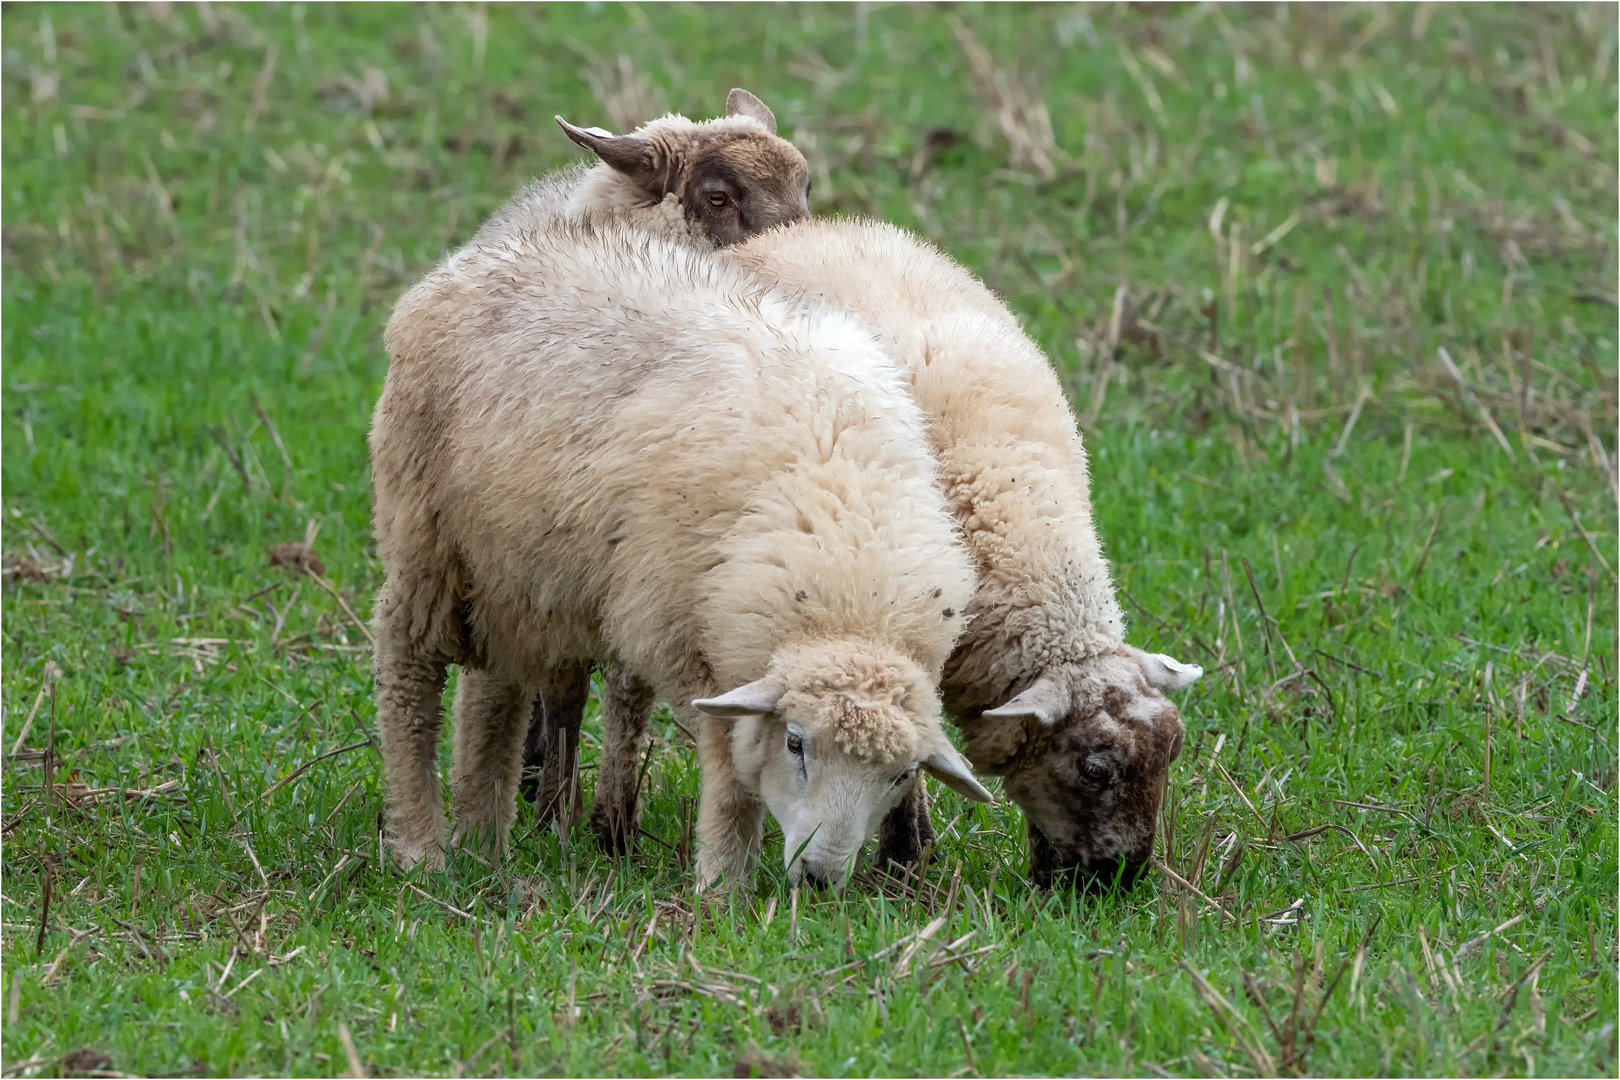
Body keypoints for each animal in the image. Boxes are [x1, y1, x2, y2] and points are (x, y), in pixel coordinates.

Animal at [372, 215, 991, 893]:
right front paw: (724, 886)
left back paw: (483, 842)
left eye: (901, 775)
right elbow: (730, 769)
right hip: (426, 532)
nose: (820, 879)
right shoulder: (678, 630)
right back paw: (421, 848)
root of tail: (471, 261)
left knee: (492, 694)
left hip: (510, 569)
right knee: (406, 669)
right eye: (796, 744)